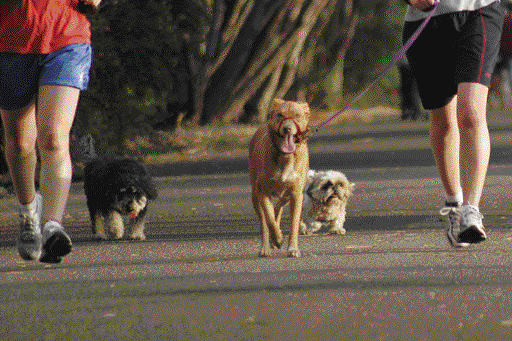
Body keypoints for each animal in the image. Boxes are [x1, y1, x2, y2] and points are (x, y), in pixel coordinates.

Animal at [247, 97, 308, 256]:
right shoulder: (263, 192)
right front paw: (277, 238)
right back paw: (266, 247)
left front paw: (293, 248)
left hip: (289, 194)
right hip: (255, 194)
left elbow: (294, 223)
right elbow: (269, 219)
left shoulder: (296, 193)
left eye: (297, 115)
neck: (285, 156)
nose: (287, 128)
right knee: (263, 222)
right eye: (280, 114)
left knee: (279, 206)